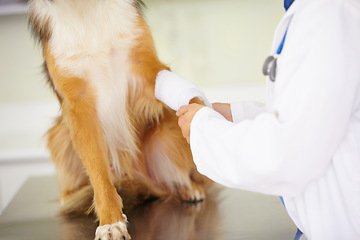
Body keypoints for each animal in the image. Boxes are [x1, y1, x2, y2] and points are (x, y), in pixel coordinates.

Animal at [29, 0, 212, 239]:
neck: (86, 8)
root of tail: (135, 178)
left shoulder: (146, 68)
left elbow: (191, 98)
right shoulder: (79, 105)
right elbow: (99, 174)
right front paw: (111, 221)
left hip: (167, 131)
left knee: (172, 179)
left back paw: (188, 187)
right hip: (59, 133)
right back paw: (71, 196)